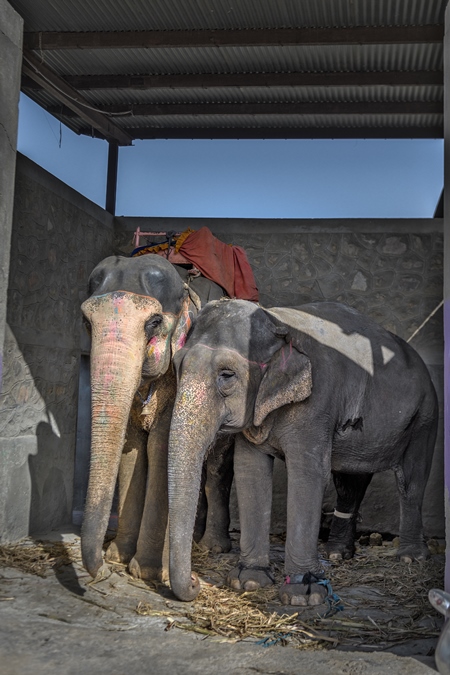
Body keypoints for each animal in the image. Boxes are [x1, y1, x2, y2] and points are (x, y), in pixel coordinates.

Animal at [167, 298, 438, 604]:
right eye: (176, 367)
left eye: (227, 375)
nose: (194, 583)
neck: (277, 322)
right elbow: (250, 472)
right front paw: (248, 581)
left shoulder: (316, 403)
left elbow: (308, 475)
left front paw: (303, 594)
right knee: (350, 482)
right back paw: (338, 554)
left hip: (425, 416)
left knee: (411, 482)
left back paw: (411, 558)